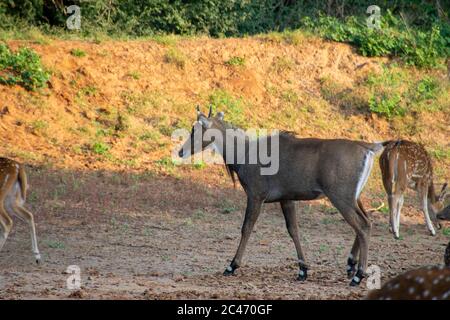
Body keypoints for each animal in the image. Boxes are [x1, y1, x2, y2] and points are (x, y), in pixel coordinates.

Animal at [179, 106, 390, 286]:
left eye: (194, 129)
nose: (181, 152)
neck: (244, 154)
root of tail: (368, 147)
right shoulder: (287, 198)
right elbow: (293, 229)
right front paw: (303, 270)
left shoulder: (255, 195)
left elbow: (246, 228)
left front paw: (231, 266)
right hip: (355, 198)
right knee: (367, 221)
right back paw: (350, 264)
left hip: (341, 197)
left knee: (362, 226)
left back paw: (358, 275)